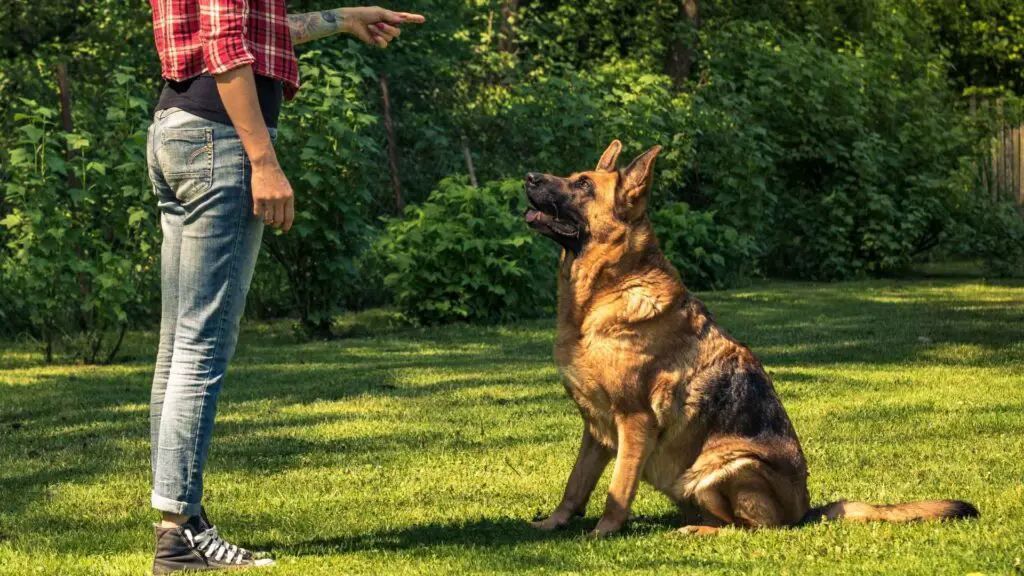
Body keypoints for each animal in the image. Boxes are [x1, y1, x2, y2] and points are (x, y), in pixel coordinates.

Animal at [524, 141, 978, 537]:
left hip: (726, 468)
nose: (528, 176)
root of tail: (805, 511)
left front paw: (602, 532)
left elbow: (617, 490)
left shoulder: (634, 422)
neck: (601, 294)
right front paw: (551, 525)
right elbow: (576, 485)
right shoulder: (596, 430)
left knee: (751, 528)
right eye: (571, 177)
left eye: (584, 185)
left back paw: (698, 530)